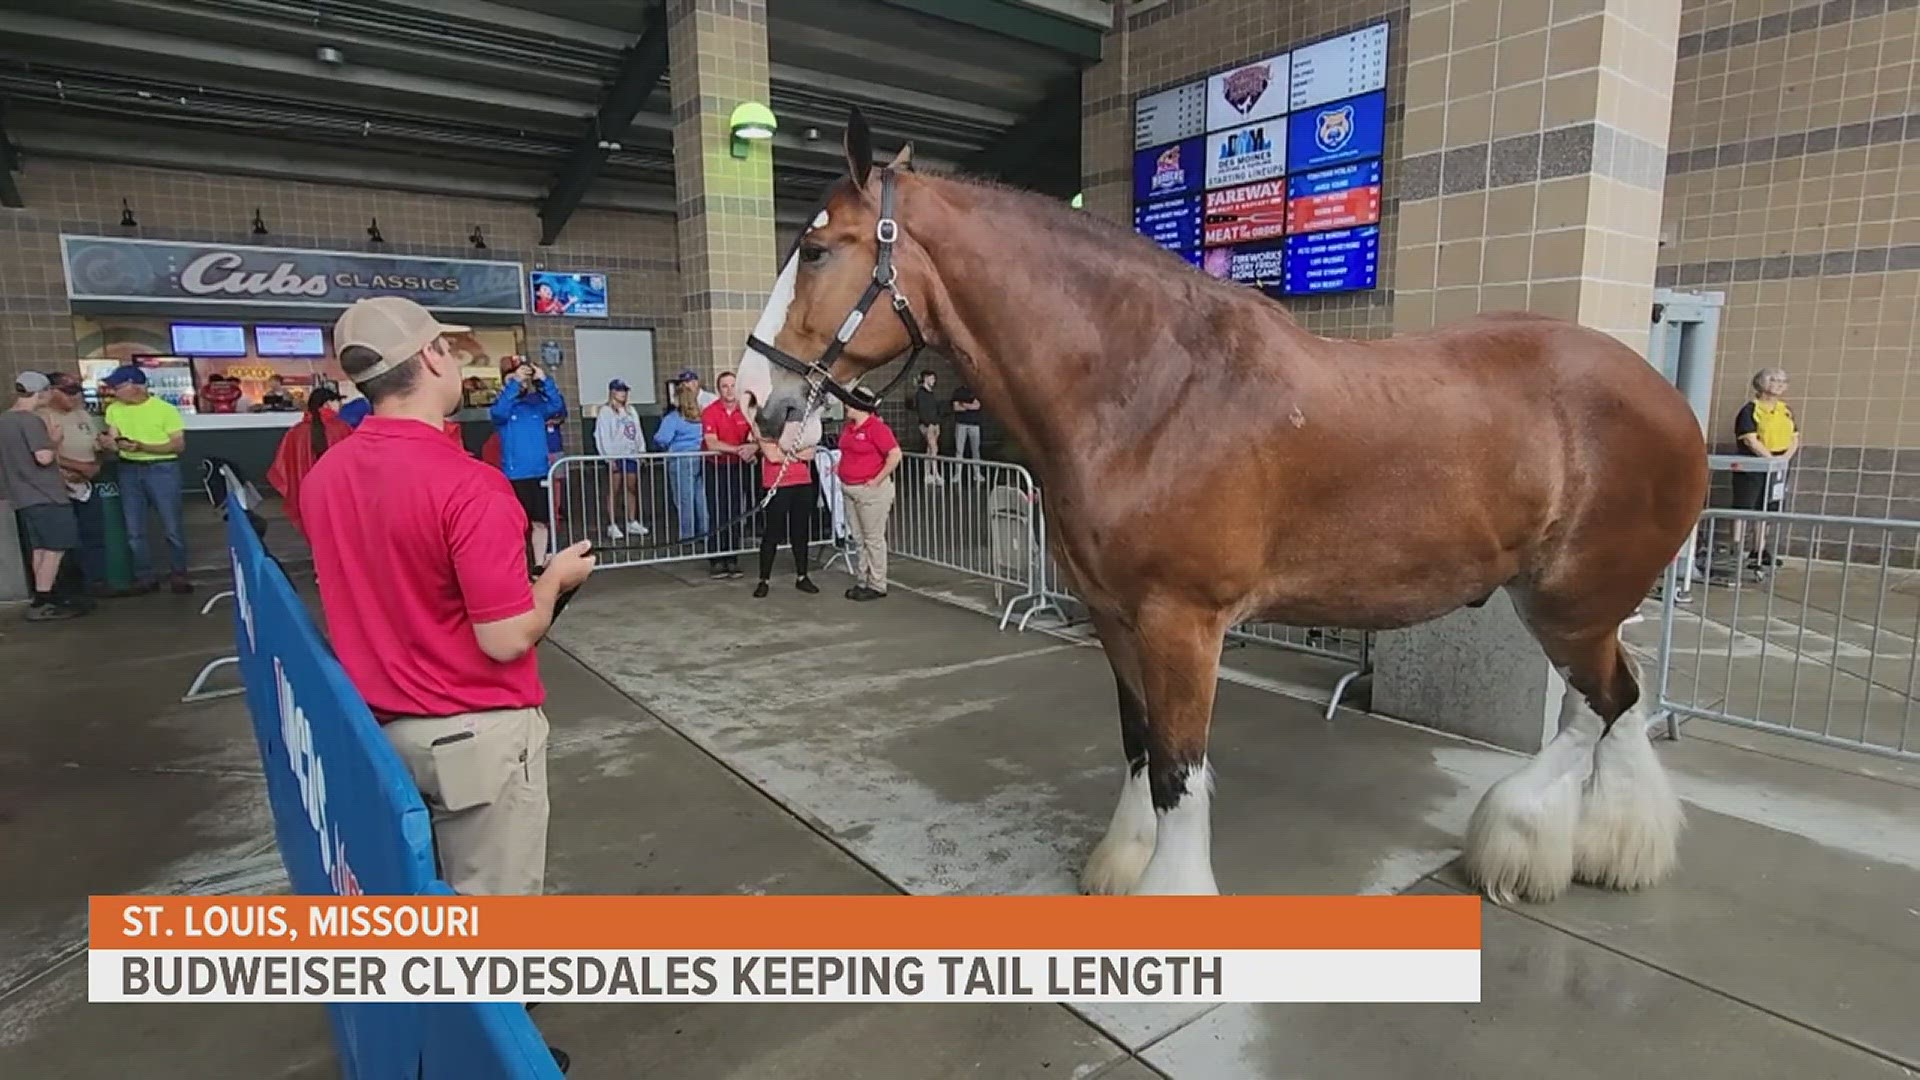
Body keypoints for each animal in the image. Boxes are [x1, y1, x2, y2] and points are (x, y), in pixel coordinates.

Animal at [737, 109, 1712, 899]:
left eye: (816, 249)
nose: (756, 401)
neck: (1151, 393)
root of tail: (1665, 398)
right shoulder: (1114, 615)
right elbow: (1140, 742)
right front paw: (1123, 862)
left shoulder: (1183, 621)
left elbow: (1180, 766)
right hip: (1572, 604)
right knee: (1608, 707)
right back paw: (1595, 846)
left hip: (1572, 601)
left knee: (1609, 706)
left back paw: (1540, 838)